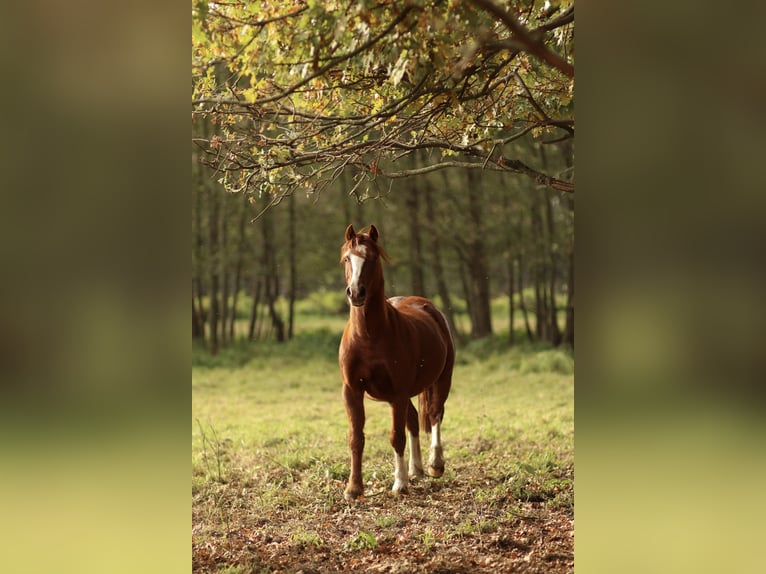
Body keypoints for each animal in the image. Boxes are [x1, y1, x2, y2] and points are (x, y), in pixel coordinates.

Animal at [338, 224, 454, 501]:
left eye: (371, 258)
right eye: (347, 258)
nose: (355, 293)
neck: (369, 336)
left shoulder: (398, 392)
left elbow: (396, 437)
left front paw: (399, 484)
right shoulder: (352, 391)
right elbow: (356, 438)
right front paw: (354, 488)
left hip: (441, 380)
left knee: (435, 414)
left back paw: (434, 465)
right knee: (413, 420)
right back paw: (417, 469)